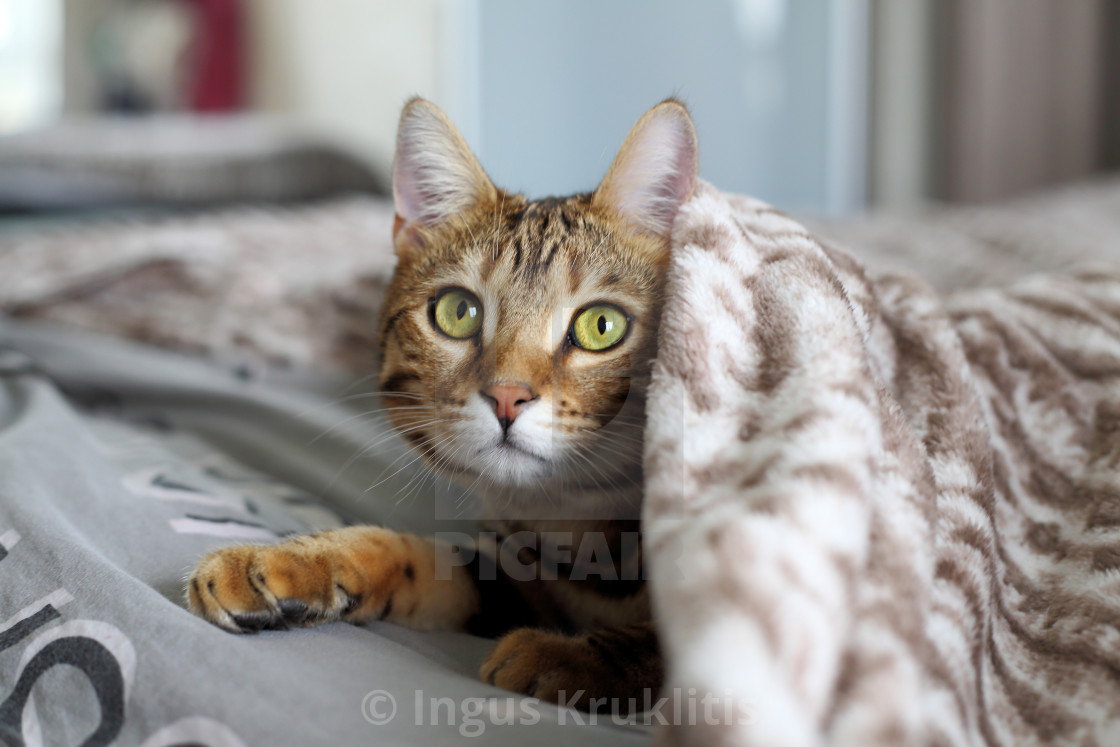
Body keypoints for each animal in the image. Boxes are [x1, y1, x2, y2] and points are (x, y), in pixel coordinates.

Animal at [190, 96, 698, 712]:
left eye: (602, 325)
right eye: (459, 312)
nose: (507, 396)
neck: (576, 529)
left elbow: (674, 647)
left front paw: (567, 657)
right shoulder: (508, 574)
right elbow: (409, 551)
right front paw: (291, 561)